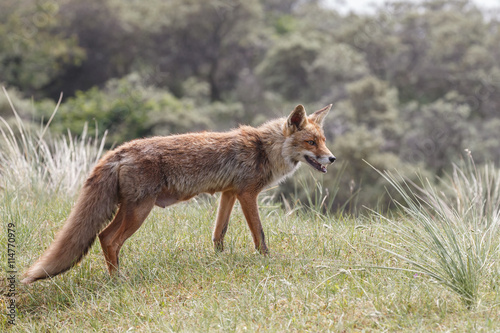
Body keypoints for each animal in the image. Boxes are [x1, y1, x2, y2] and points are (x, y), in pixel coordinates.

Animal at [22, 104, 336, 282]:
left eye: (323, 141)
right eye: (311, 142)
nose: (332, 158)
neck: (264, 150)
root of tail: (118, 151)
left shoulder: (229, 193)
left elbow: (218, 234)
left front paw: (219, 260)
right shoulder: (247, 194)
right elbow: (260, 235)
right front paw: (266, 262)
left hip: (131, 209)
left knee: (102, 236)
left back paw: (116, 276)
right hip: (139, 211)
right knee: (108, 238)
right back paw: (118, 280)